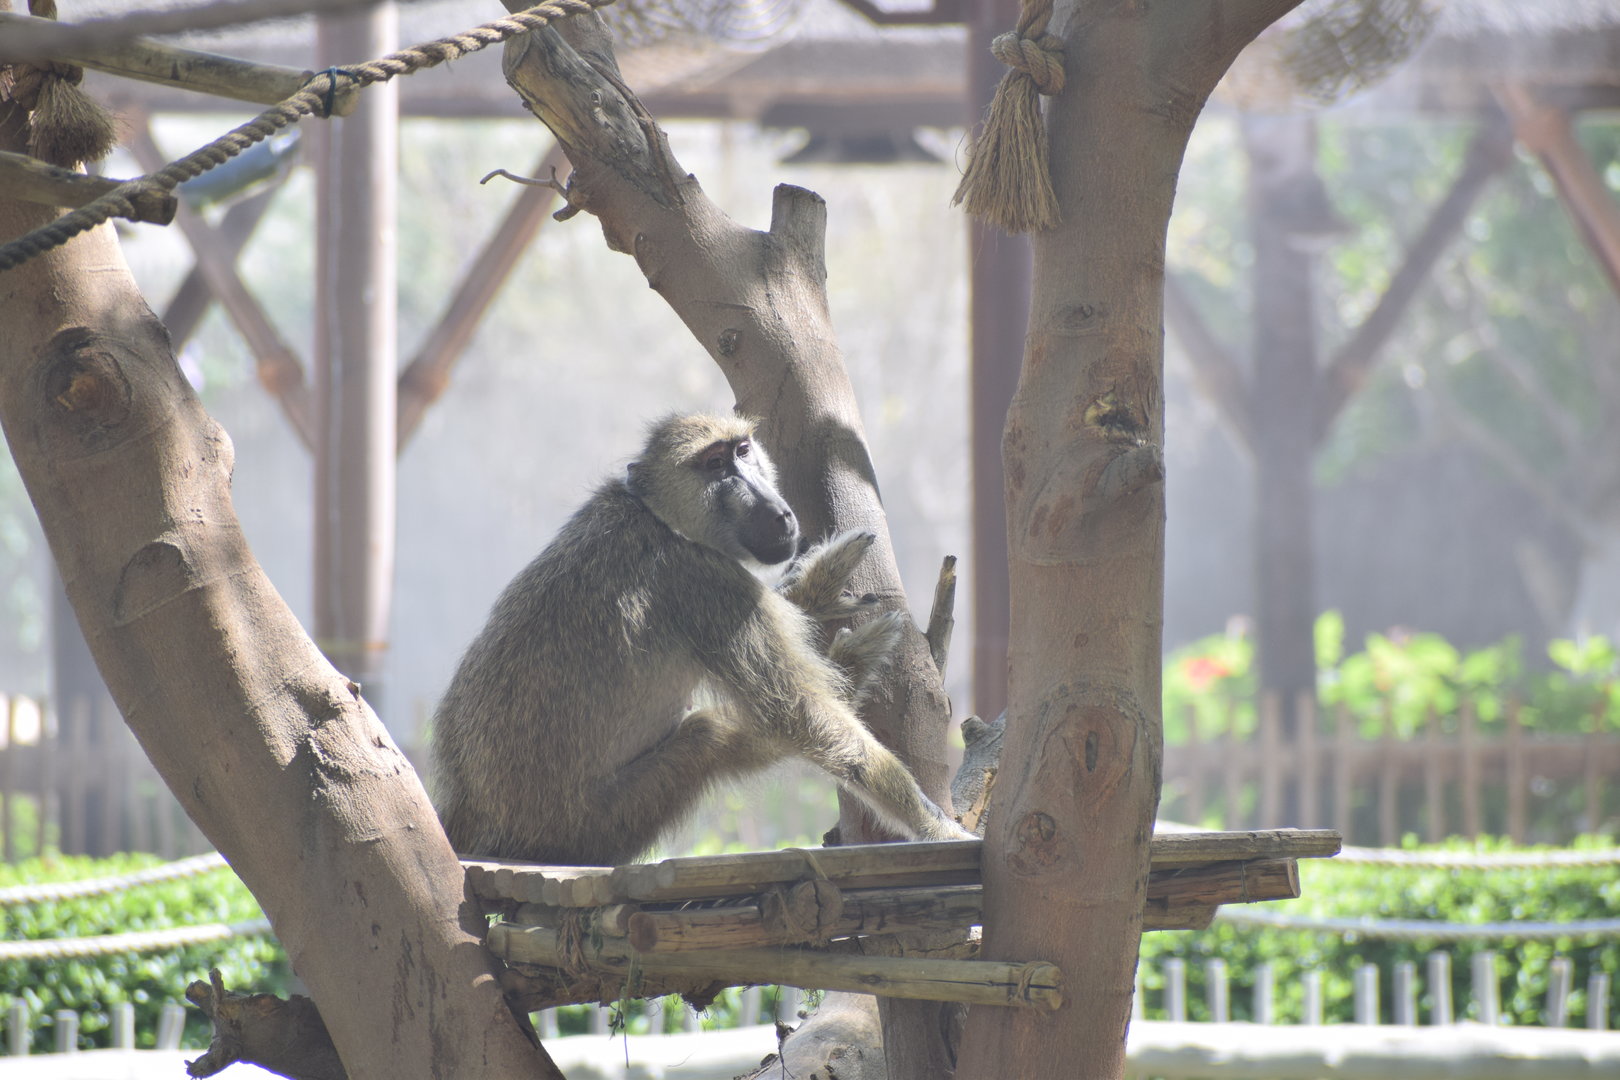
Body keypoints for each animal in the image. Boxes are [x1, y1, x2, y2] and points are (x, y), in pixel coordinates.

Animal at [431, 412, 973, 866]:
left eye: (742, 451)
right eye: (714, 466)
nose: (780, 514)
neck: (656, 517)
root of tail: (467, 815)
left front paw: (816, 586)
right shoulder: (705, 584)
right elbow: (797, 713)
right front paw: (938, 829)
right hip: (590, 826)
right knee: (713, 736)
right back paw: (852, 666)